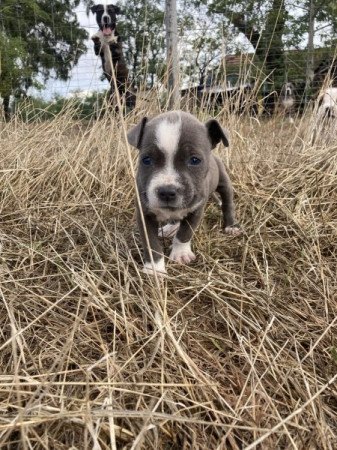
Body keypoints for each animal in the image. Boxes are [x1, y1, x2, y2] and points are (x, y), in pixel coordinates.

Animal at [127, 110, 240, 276]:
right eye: (146, 160)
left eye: (194, 160)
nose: (167, 192)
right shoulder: (144, 214)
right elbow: (151, 243)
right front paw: (155, 269)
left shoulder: (196, 210)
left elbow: (184, 233)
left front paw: (180, 254)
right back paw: (169, 228)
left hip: (225, 183)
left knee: (227, 204)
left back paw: (231, 225)